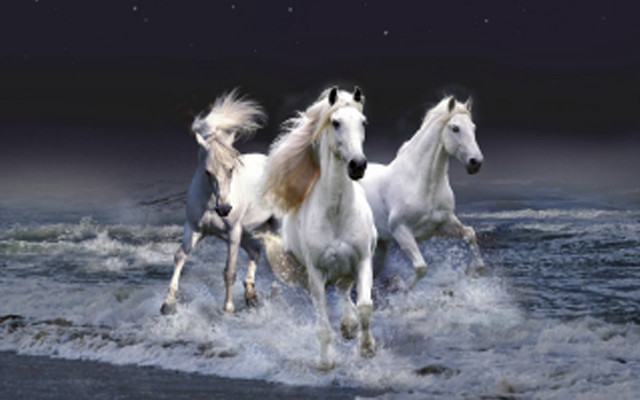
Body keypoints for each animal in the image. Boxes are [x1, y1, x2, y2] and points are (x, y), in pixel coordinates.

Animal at [160, 91, 276, 315]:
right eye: (207, 172)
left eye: (231, 169)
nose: (224, 209)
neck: (209, 202)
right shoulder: (194, 229)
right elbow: (179, 256)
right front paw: (168, 303)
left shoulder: (232, 234)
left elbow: (229, 271)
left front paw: (228, 308)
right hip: (246, 232)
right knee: (256, 252)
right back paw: (251, 296)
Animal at [261, 86, 377, 370]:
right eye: (335, 123)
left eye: (363, 122)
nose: (357, 165)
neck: (336, 213)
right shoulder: (315, 273)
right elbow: (323, 325)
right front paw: (326, 362)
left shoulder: (362, 260)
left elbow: (365, 306)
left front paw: (367, 348)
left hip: (347, 268)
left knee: (345, 291)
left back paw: (349, 326)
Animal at [360, 96, 484, 286]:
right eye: (455, 128)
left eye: (473, 127)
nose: (476, 162)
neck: (422, 185)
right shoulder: (401, 231)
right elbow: (421, 267)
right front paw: (400, 285)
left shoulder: (444, 224)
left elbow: (470, 234)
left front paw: (472, 271)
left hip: (381, 244)